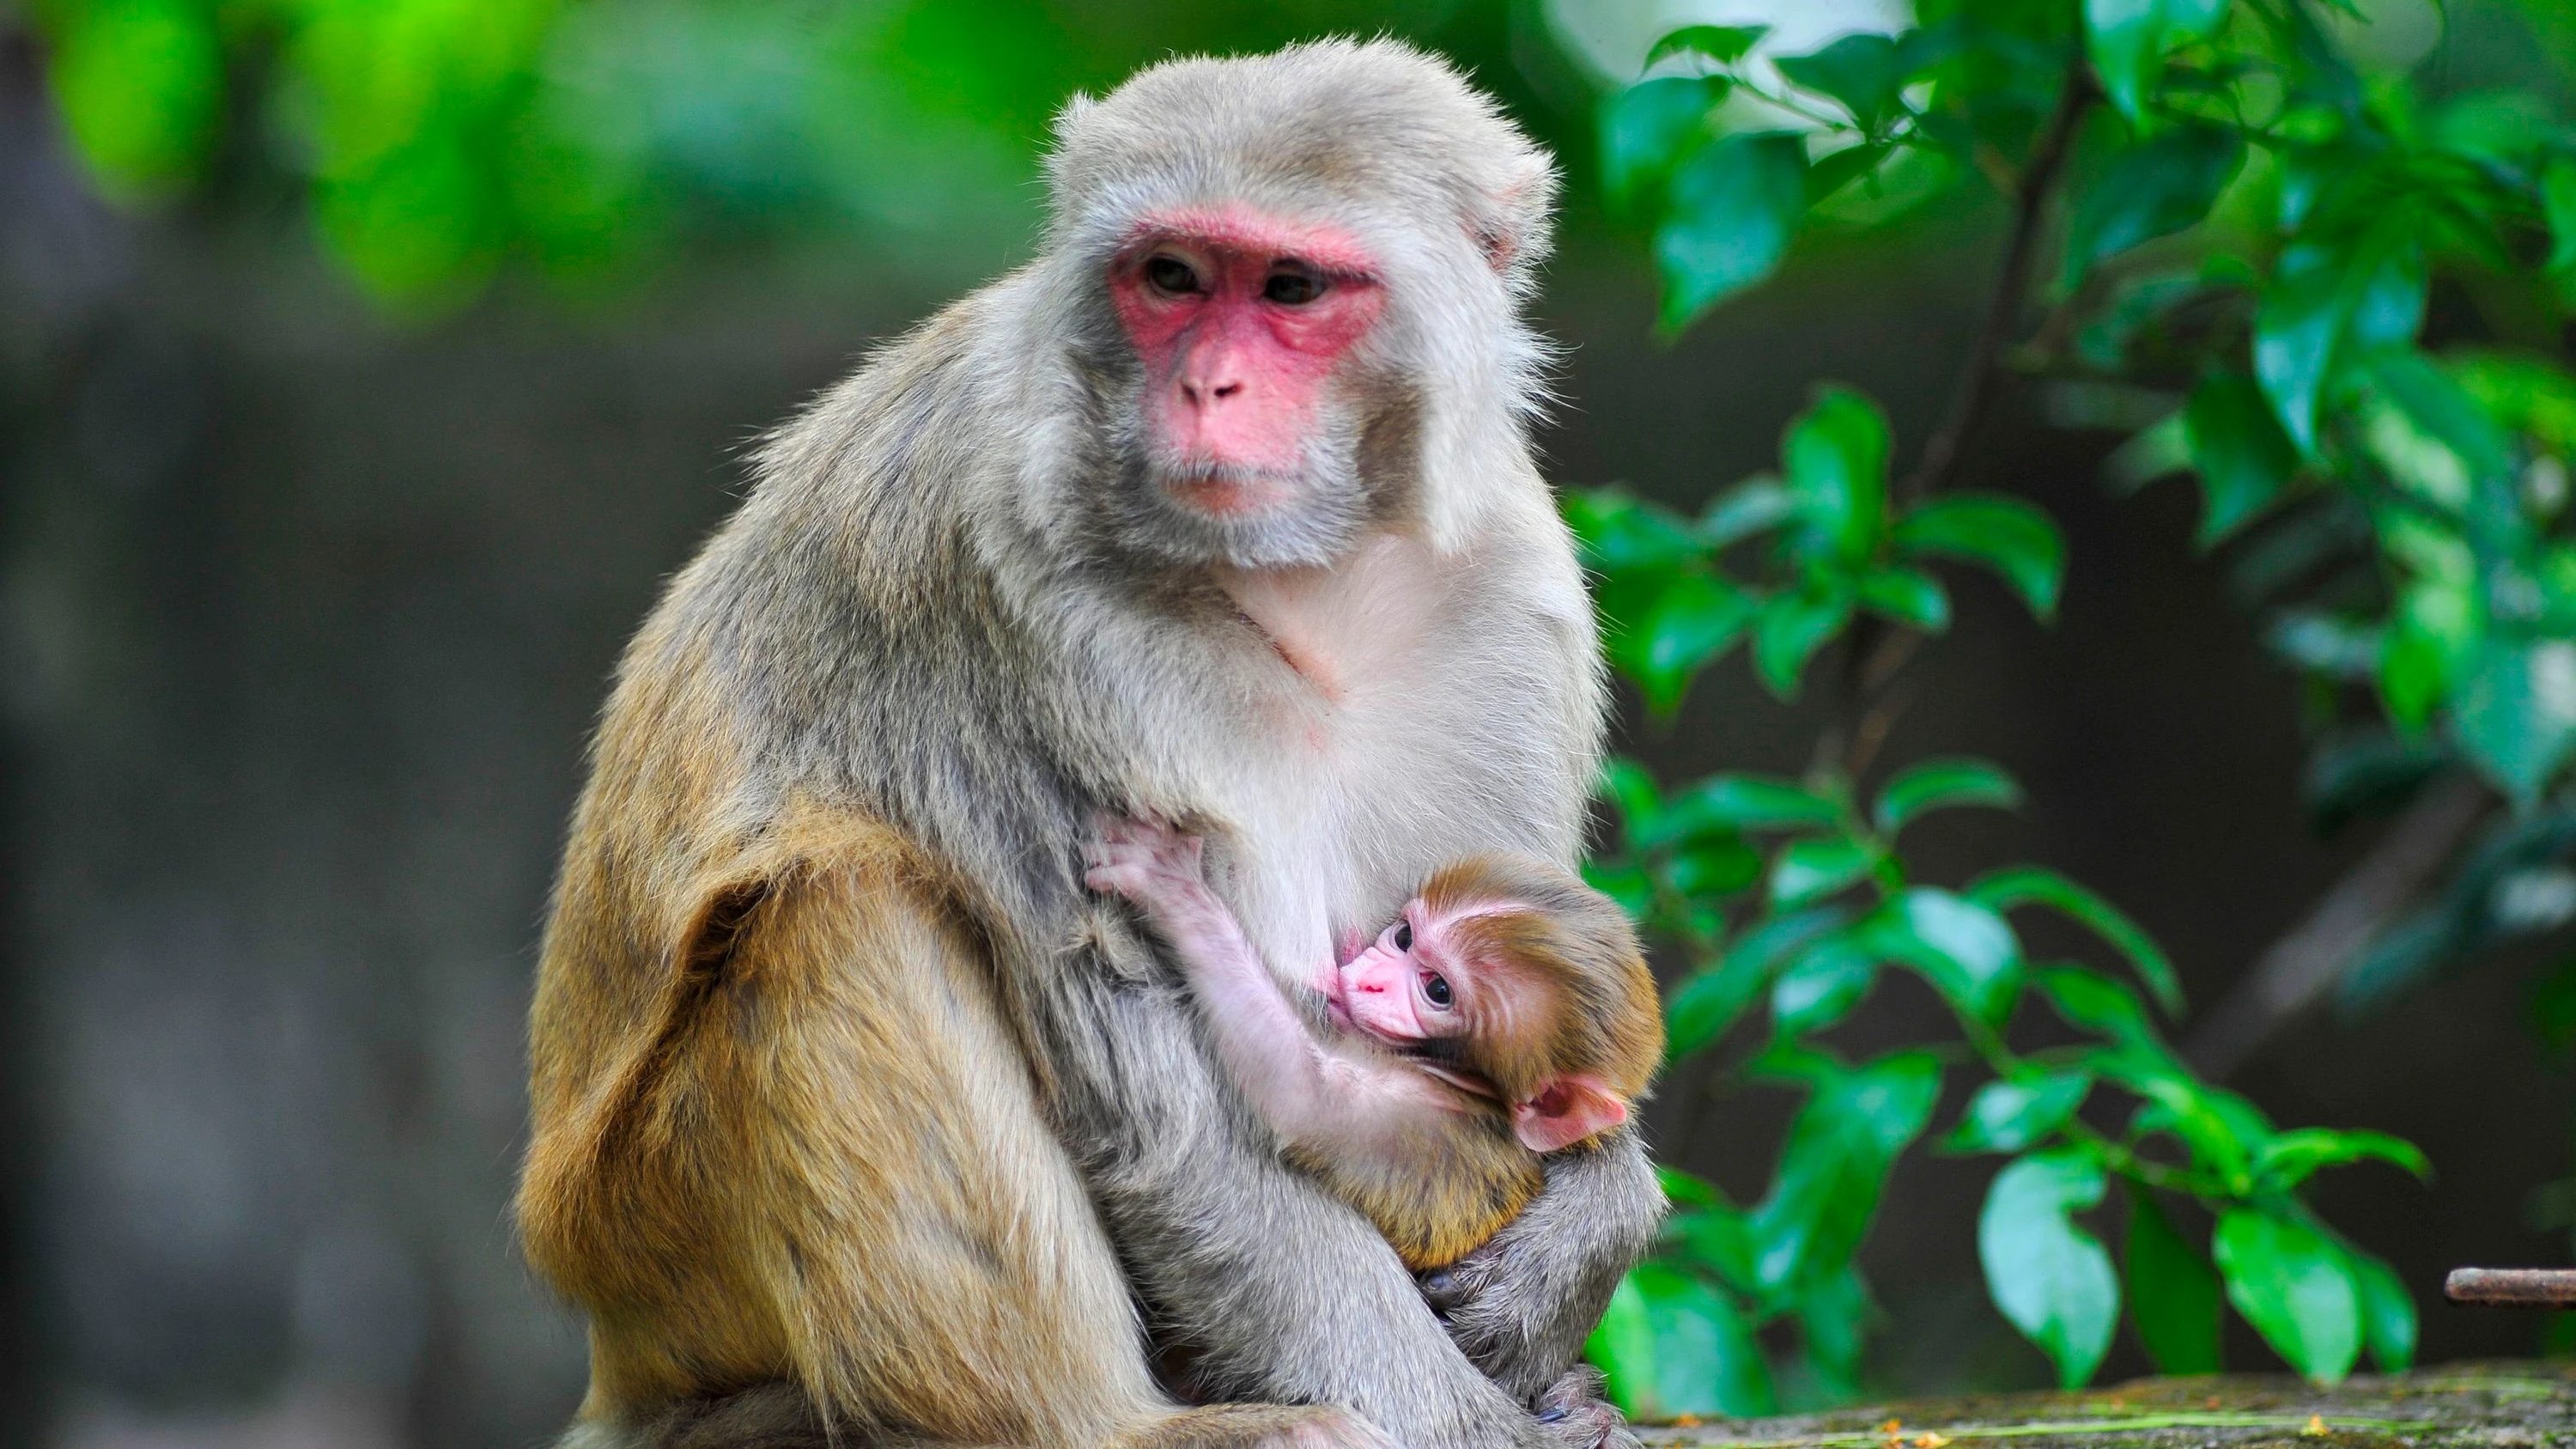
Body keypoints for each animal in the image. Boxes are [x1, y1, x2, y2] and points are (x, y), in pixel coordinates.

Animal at [1083, 815, 1664, 1273]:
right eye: (1404, 938)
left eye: (1438, 990)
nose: (1369, 982)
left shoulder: (1429, 1128)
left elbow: (1304, 1093)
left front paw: (1176, 893)